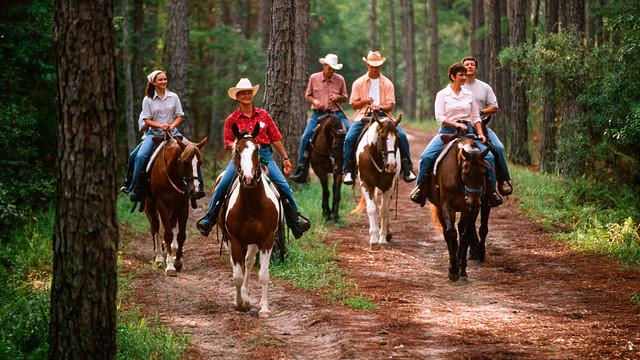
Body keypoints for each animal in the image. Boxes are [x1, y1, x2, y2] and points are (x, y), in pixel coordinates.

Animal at [145, 134, 208, 276]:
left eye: (200, 162)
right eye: (185, 162)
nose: (195, 190)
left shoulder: (182, 206)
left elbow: (181, 235)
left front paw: (177, 262)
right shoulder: (162, 205)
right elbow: (168, 234)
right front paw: (170, 267)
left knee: (171, 224)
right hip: (150, 205)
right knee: (155, 227)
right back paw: (158, 257)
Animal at [221, 121, 278, 318]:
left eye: (257, 149)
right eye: (237, 149)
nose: (249, 178)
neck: (252, 205)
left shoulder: (267, 240)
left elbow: (264, 275)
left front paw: (264, 308)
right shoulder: (235, 240)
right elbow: (237, 276)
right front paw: (240, 303)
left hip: (253, 242)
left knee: (249, 261)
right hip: (231, 240)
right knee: (237, 264)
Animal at [352, 112, 402, 250]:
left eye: (398, 138)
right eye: (383, 137)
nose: (391, 165)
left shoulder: (388, 186)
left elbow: (383, 210)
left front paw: (382, 238)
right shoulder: (366, 184)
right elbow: (371, 208)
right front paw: (374, 240)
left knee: (385, 207)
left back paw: (388, 233)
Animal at [428, 134, 492, 282]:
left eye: (483, 172)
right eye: (465, 173)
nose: (474, 203)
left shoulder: (470, 210)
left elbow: (465, 236)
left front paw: (462, 269)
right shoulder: (447, 206)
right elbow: (451, 233)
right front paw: (453, 270)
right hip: (440, 209)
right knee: (447, 232)